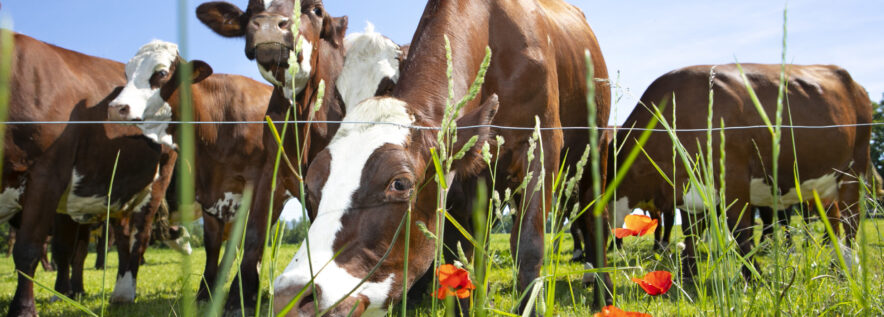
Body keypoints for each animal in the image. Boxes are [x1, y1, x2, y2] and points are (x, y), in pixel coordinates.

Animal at [2, 32, 179, 316]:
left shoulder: (47, 173)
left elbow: (29, 248)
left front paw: (24, 309)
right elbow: (64, 249)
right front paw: (64, 293)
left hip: (158, 180)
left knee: (139, 235)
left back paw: (125, 292)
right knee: (122, 237)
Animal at [278, 0, 616, 314]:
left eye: (400, 184)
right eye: (311, 188)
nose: (291, 296)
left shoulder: (542, 139)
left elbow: (528, 245)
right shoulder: (461, 178)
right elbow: (459, 256)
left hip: (595, 148)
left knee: (596, 219)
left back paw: (604, 296)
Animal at [608, 63, 872, 278]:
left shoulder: (734, 178)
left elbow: (741, 230)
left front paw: (753, 276)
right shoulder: (689, 191)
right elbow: (691, 232)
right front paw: (689, 274)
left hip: (854, 169)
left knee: (851, 219)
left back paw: (847, 268)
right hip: (821, 185)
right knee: (833, 218)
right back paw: (836, 265)